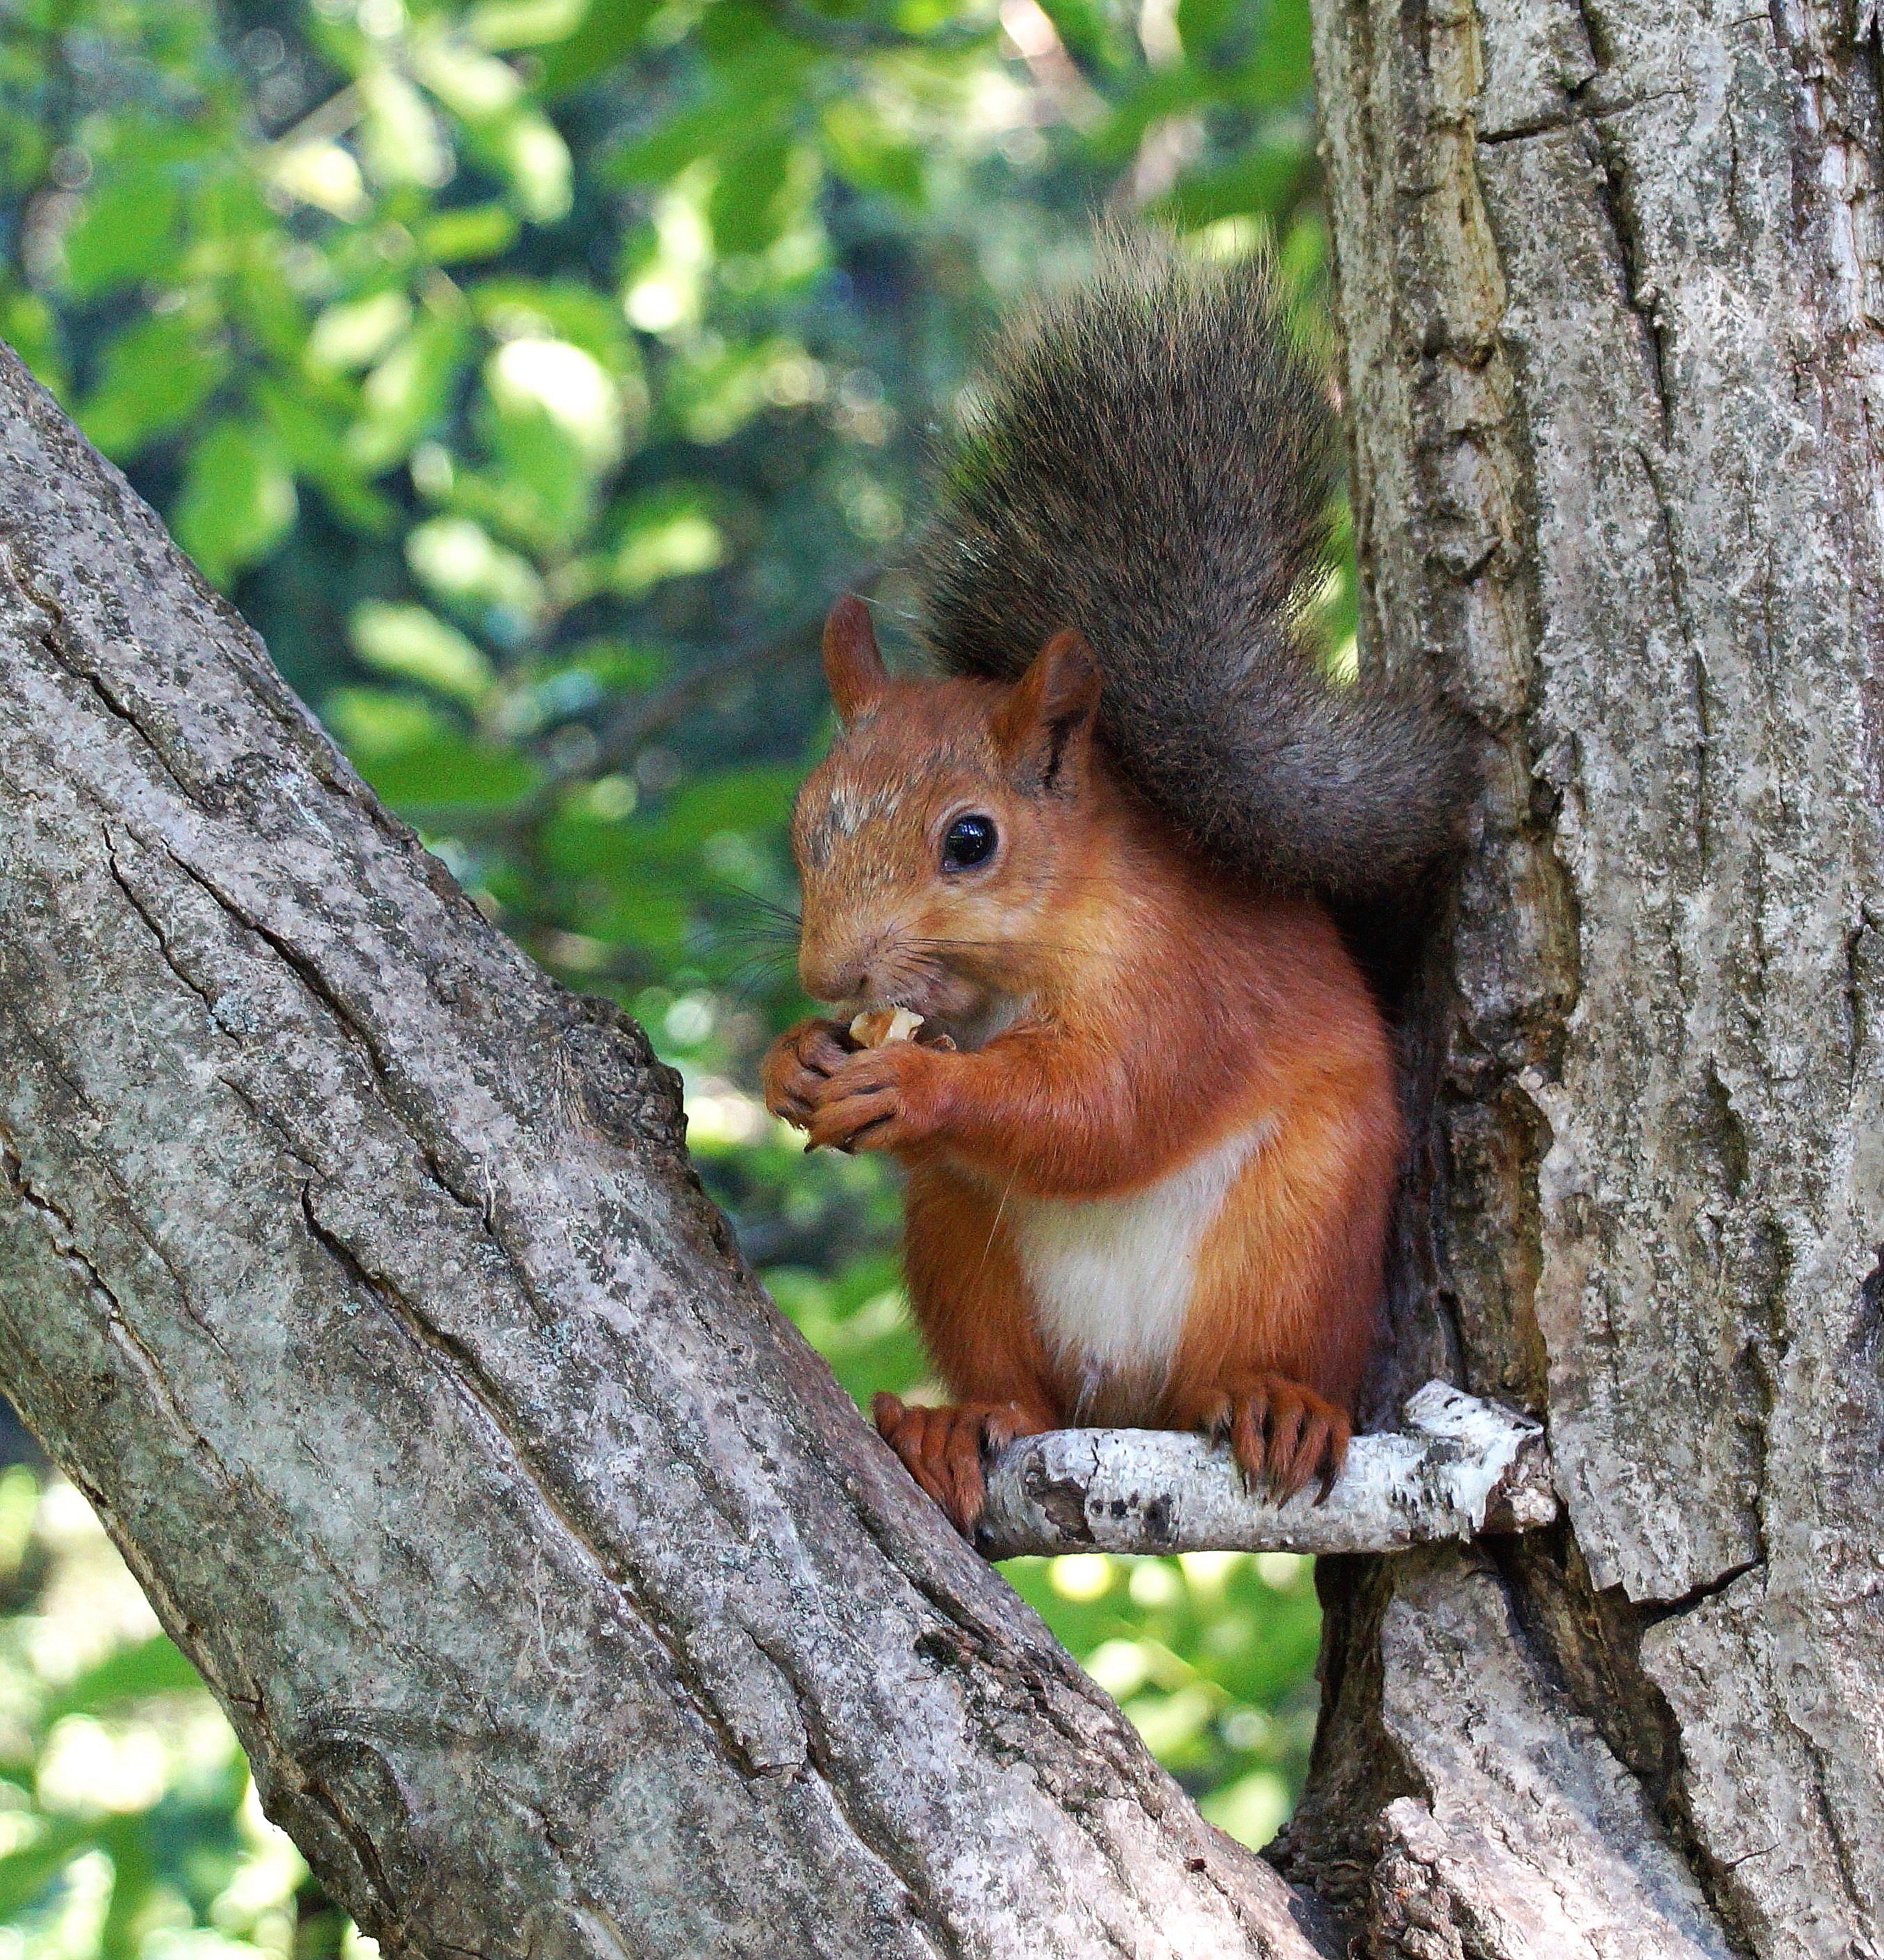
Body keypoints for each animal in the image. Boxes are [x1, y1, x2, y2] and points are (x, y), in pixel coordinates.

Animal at [753, 237, 1474, 1536]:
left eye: (971, 840)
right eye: (805, 819)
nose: (828, 974)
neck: (1016, 964)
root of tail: (1131, 1398)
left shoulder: (1179, 972)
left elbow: (1106, 1106)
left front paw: (921, 1085)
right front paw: (794, 1058)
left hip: (1301, 1232)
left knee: (1248, 1358)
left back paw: (1274, 1402)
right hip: (963, 1251)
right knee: (1019, 1391)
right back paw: (962, 1422)